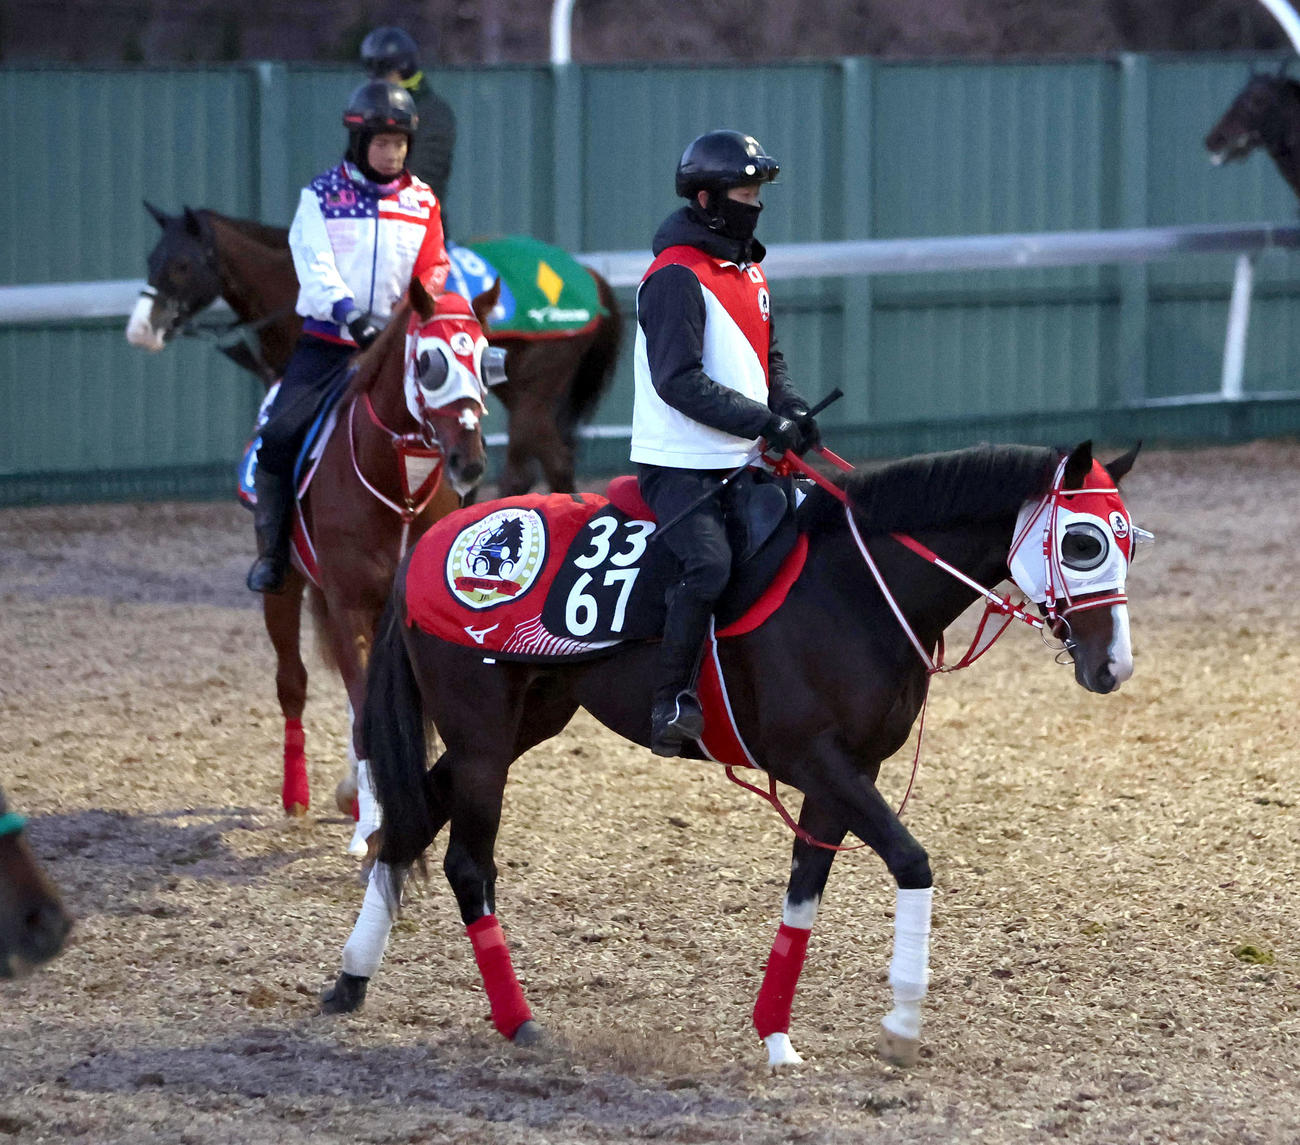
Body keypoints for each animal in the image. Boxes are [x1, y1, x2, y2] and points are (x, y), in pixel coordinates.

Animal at [126, 205, 623, 493]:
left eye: (181, 264)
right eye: (151, 259)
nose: (139, 329)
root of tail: (588, 275)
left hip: (533, 391)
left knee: (535, 465)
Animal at [321, 439, 1144, 1066]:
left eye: (1129, 540)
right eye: (1083, 541)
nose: (1114, 667)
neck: (855, 589)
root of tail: (433, 546)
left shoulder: (847, 774)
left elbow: (804, 894)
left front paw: (776, 1037)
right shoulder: (816, 760)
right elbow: (913, 862)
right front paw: (903, 1024)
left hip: (525, 723)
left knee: (410, 821)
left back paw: (350, 980)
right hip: (484, 737)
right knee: (467, 865)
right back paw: (517, 1019)